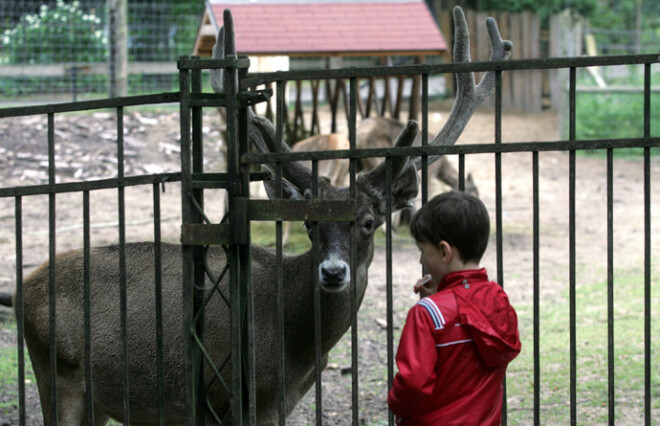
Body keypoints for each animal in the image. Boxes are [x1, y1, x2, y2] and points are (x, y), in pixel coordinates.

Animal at [12, 7, 512, 426]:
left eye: (369, 221)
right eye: (310, 223)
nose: (333, 272)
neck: (294, 353)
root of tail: (22, 290)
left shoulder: (279, 403)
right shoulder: (227, 396)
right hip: (57, 376)